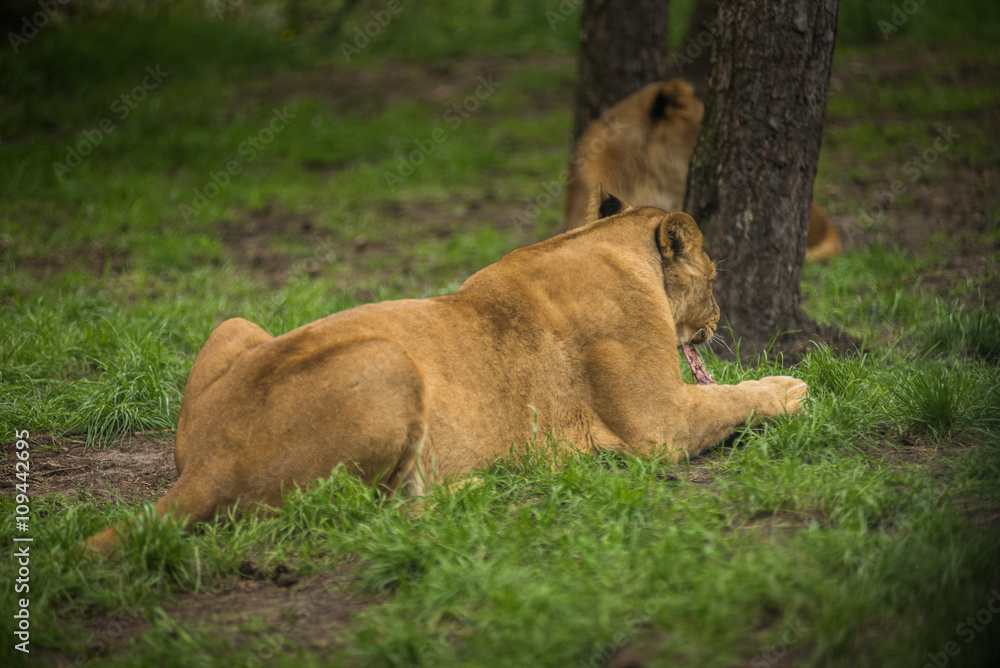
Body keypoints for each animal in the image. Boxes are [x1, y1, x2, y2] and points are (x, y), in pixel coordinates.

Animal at [84, 187, 808, 552]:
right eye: (715, 276)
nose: (717, 321)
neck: (605, 243)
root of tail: (207, 461)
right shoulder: (658, 425)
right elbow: (732, 399)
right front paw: (793, 388)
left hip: (235, 323)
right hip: (386, 360)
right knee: (352, 513)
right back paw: (486, 486)